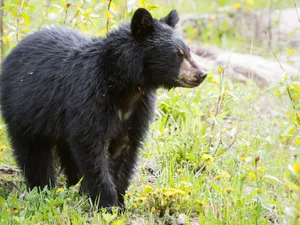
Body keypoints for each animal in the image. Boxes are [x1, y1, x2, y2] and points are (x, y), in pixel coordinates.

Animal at [0, 8, 206, 209]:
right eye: (178, 54)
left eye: (188, 51)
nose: (201, 74)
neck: (126, 85)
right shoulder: (90, 96)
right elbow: (91, 146)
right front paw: (106, 202)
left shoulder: (138, 108)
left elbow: (126, 148)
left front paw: (120, 203)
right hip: (24, 110)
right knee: (33, 153)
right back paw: (43, 188)